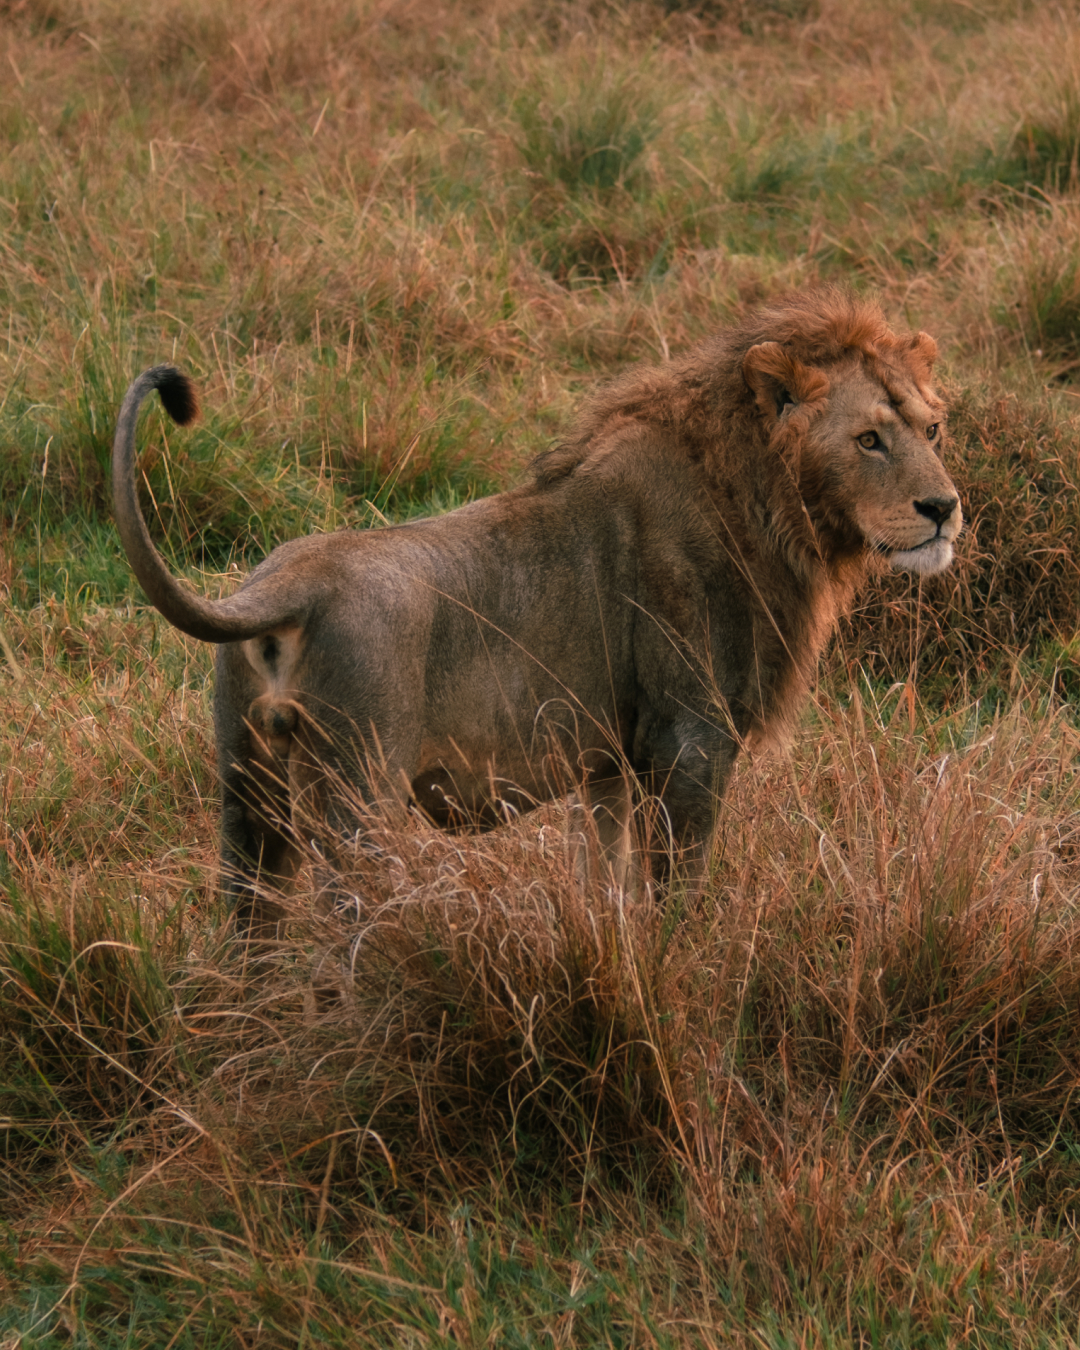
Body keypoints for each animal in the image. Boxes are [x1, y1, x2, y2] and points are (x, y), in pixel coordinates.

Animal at [112, 288, 961, 938]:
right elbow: (677, 892)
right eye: (868, 439)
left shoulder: (612, 760)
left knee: (247, 934)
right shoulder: (692, 740)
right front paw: (686, 964)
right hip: (359, 800)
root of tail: (291, 581)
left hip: (248, 804)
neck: (773, 509)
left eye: (932, 428)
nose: (945, 509)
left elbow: (607, 877)